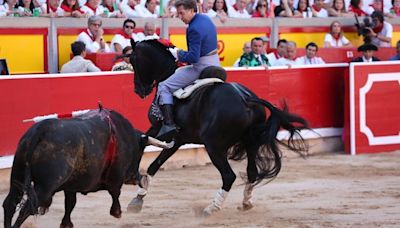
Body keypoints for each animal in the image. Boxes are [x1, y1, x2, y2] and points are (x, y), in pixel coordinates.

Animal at [2, 109, 148, 228]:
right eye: (140, 153)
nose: (137, 177)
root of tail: (42, 129)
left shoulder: (70, 186)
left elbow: (70, 203)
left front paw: (66, 224)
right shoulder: (116, 175)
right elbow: (115, 192)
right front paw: (117, 212)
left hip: (18, 175)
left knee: (10, 203)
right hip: (45, 186)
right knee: (27, 209)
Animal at [128, 39, 310, 216]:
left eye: (133, 60)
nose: (138, 90)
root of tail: (246, 99)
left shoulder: (163, 132)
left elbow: (146, 150)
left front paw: (137, 194)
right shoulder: (178, 139)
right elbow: (152, 159)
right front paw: (138, 196)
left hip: (214, 147)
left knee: (229, 176)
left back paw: (211, 208)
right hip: (251, 143)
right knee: (251, 171)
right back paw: (246, 203)